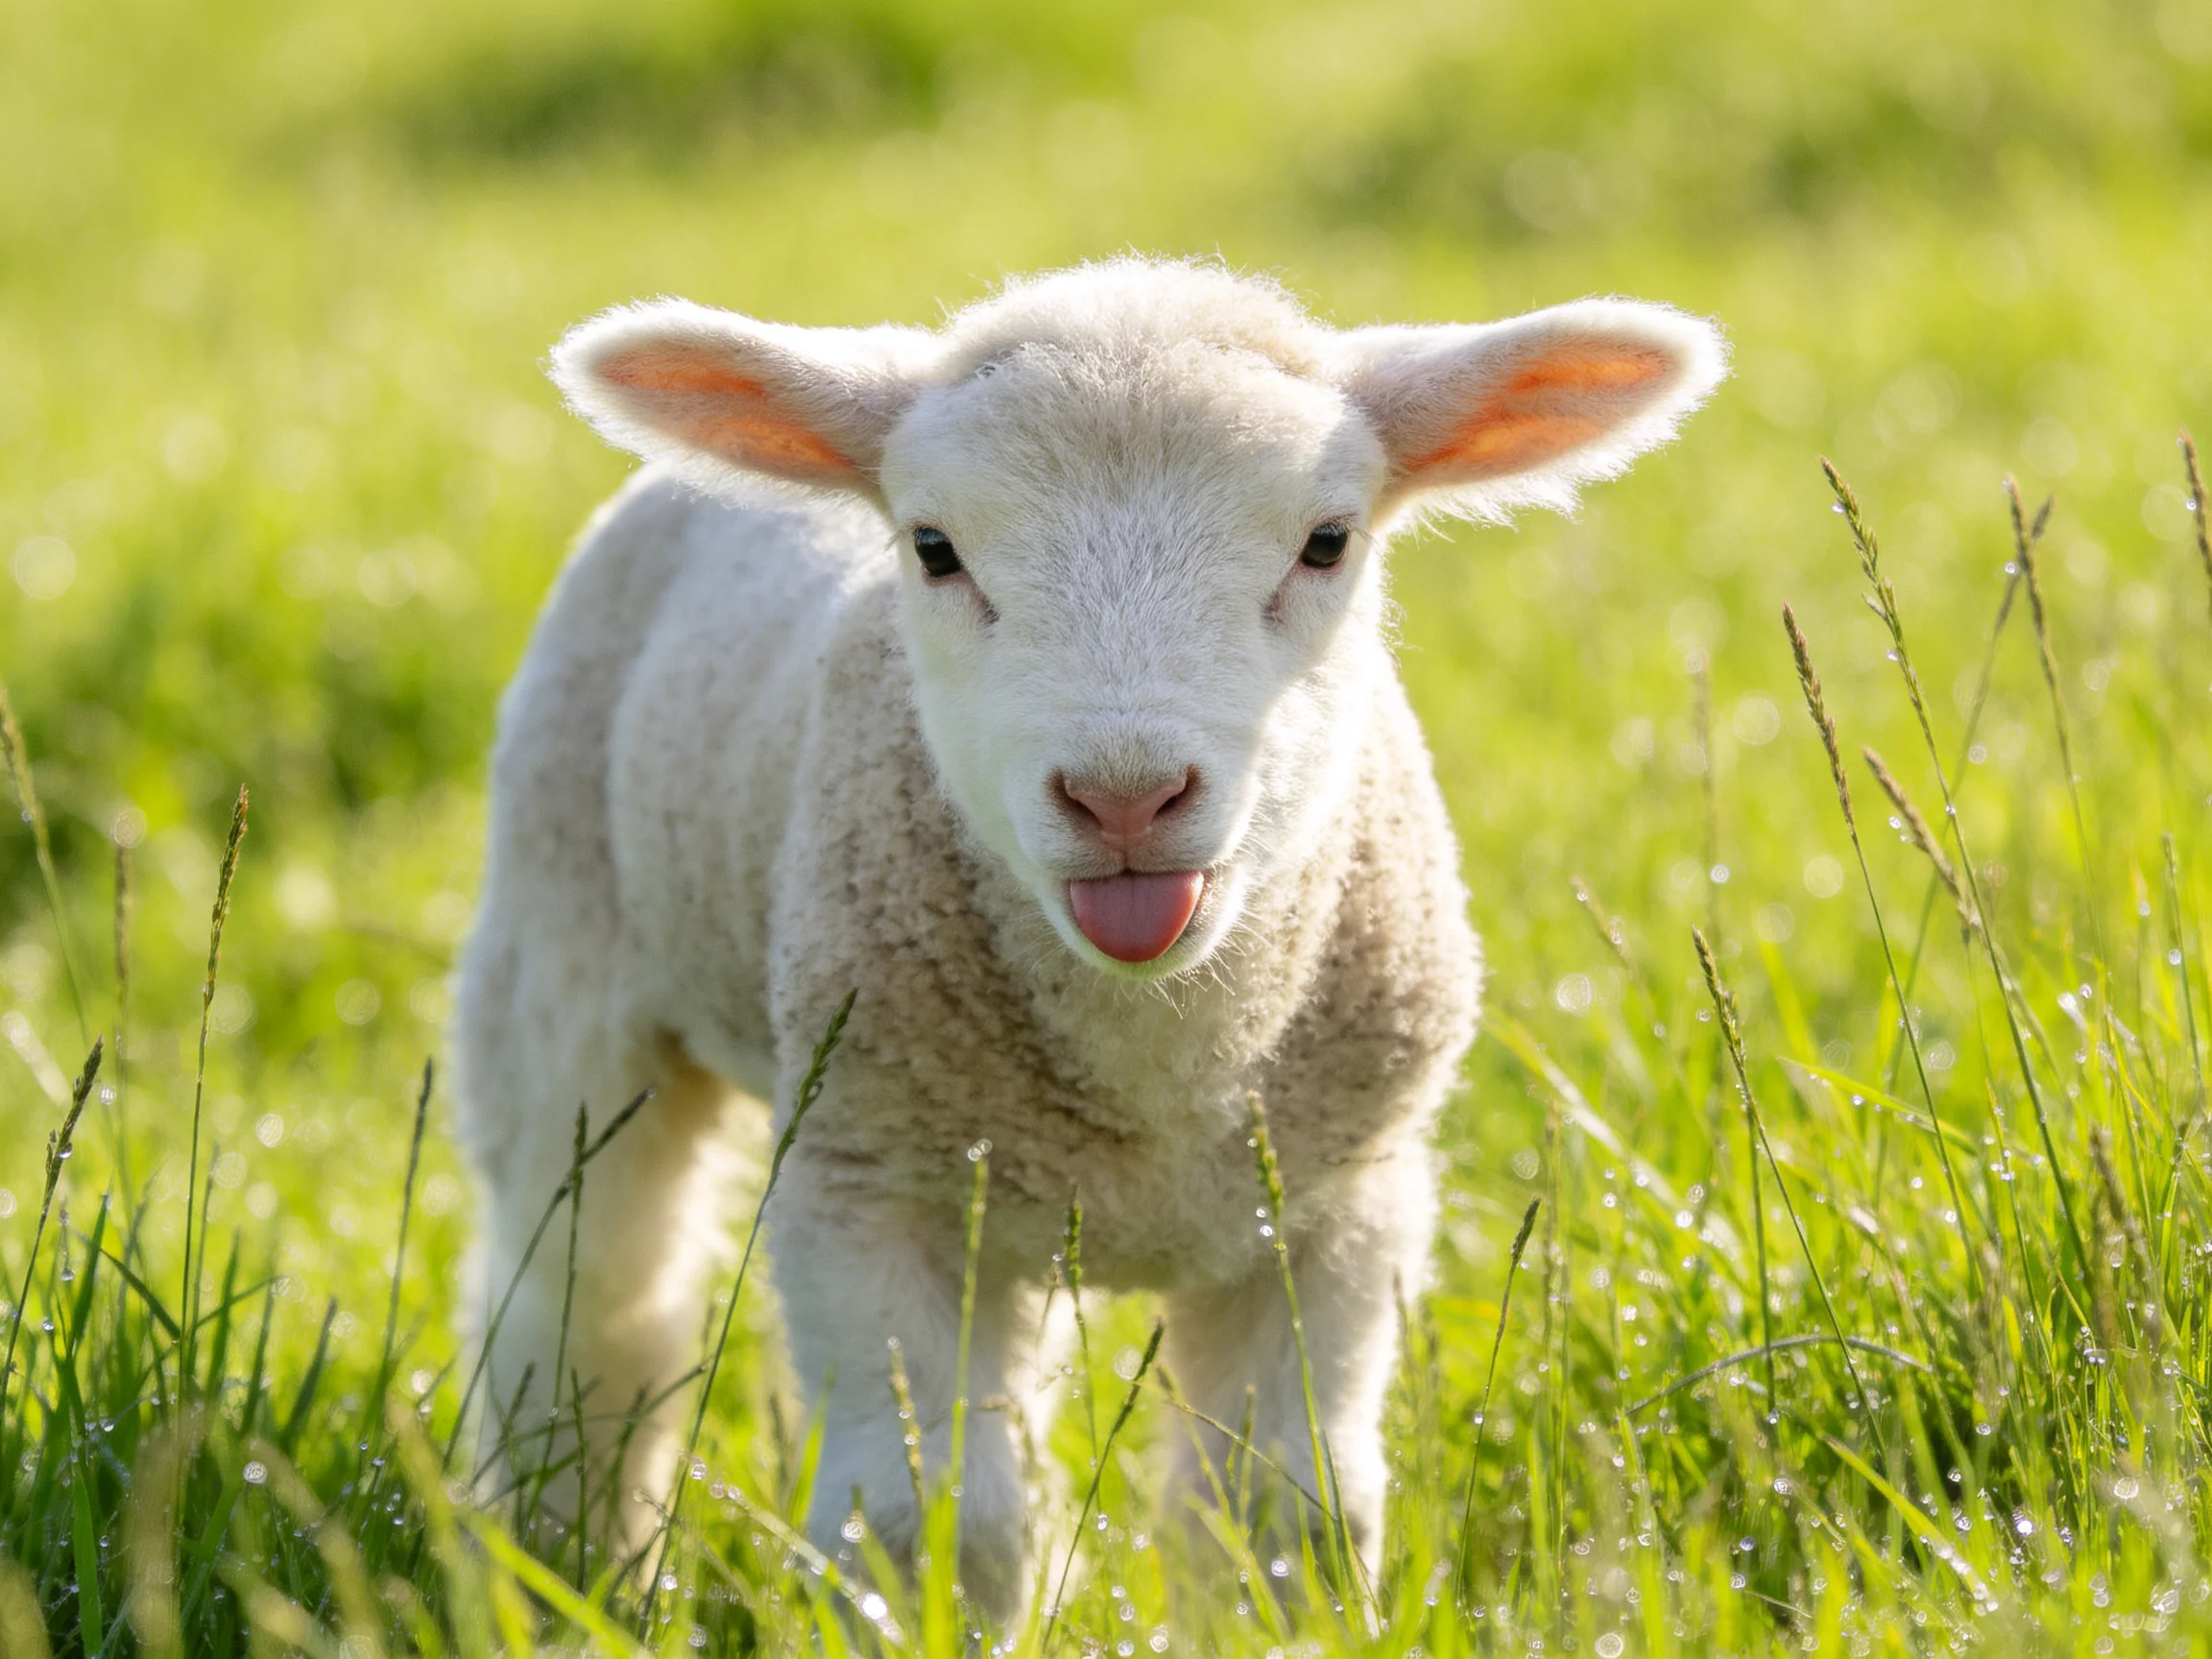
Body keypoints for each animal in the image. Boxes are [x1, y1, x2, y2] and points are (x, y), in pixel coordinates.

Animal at [452, 257, 1723, 1616]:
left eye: (1327, 541)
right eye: (934, 548)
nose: (1124, 797)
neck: (1157, 1061)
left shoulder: (1335, 1202)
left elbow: (1282, 1513)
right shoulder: (865, 1179)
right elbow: (930, 1524)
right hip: (561, 955)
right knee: (587, 1305)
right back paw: (563, 1554)